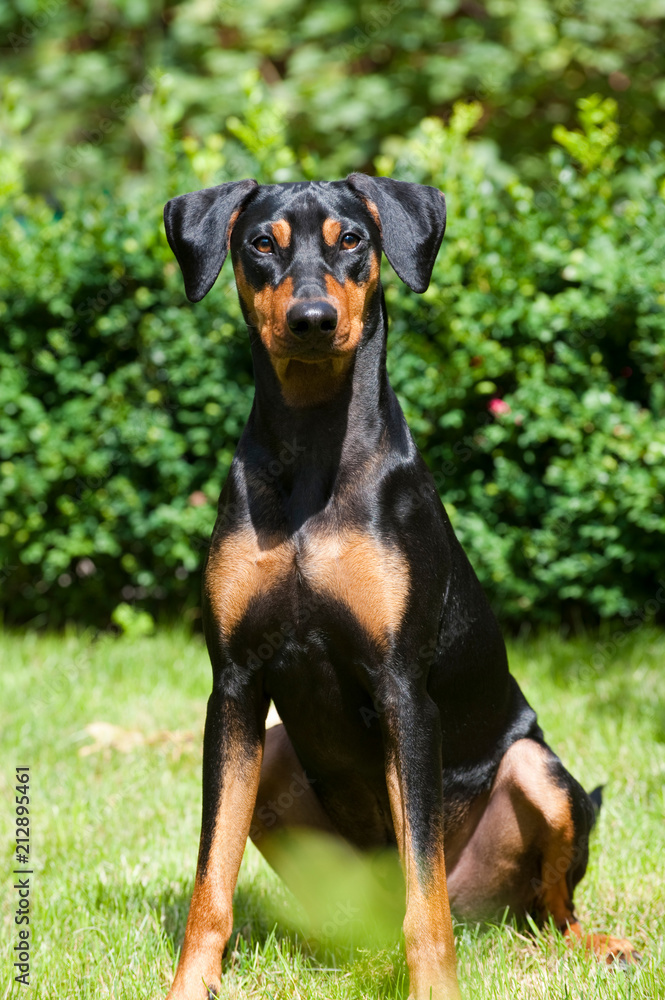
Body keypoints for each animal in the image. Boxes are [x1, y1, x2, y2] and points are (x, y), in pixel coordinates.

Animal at [163, 178, 636, 1000]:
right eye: (262, 243)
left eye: (351, 239)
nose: (312, 320)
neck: (313, 446)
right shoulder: (235, 686)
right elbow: (210, 876)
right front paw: (191, 983)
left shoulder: (402, 690)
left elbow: (425, 892)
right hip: (279, 756)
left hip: (537, 770)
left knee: (546, 906)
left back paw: (594, 943)